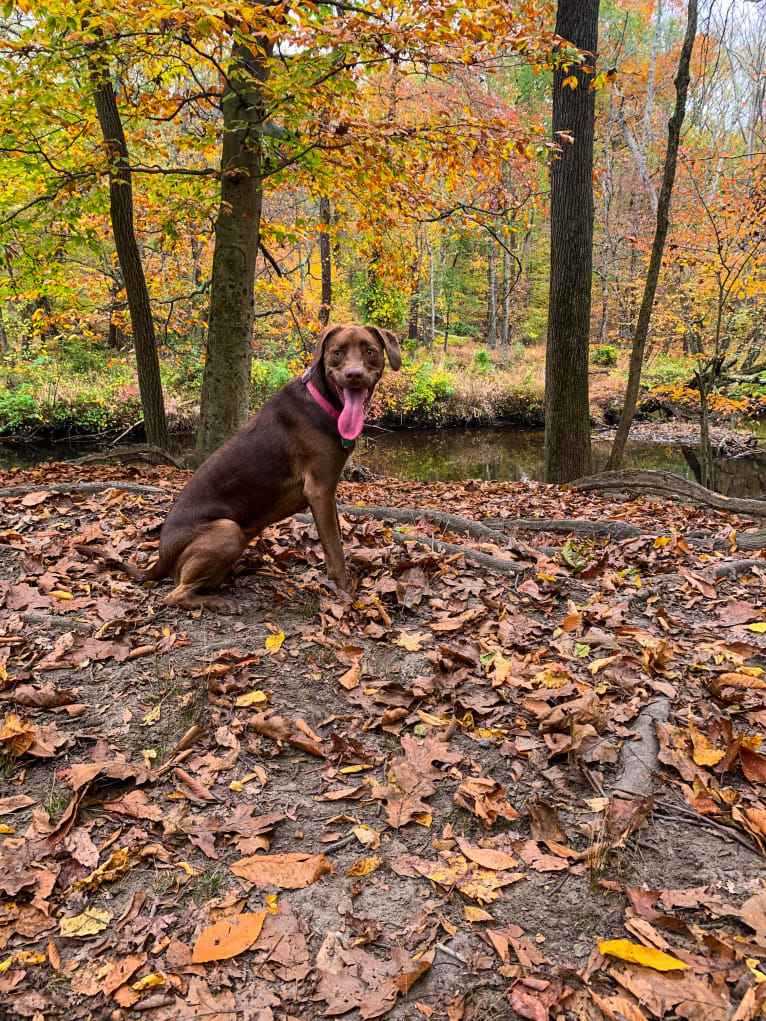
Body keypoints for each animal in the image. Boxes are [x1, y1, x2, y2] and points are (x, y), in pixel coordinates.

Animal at [121, 322, 402, 608]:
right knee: (174, 594)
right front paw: (346, 592)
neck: (324, 402)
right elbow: (334, 549)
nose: (354, 375)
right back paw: (218, 602)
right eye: (337, 352)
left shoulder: (327, 491)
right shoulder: (319, 489)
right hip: (228, 530)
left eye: (369, 351)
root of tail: (161, 558)